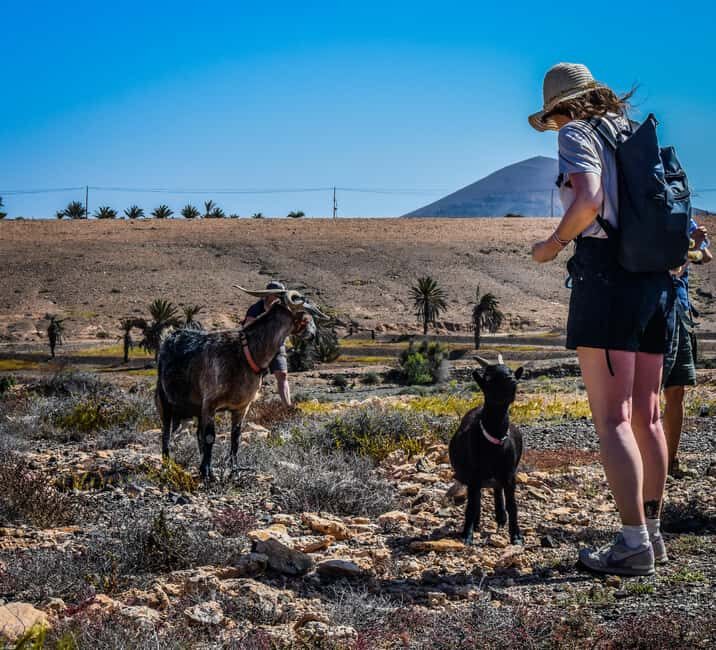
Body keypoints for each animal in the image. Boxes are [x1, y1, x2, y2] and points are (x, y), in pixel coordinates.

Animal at [156, 286, 324, 479]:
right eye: (307, 316)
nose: (314, 335)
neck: (245, 352)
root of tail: (168, 337)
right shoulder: (210, 403)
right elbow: (210, 437)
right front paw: (208, 473)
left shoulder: (241, 407)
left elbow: (235, 437)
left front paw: (234, 469)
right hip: (165, 401)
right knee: (166, 433)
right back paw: (168, 464)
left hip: (195, 409)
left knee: (193, 433)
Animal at [449, 355, 524, 545]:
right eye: (489, 377)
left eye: (511, 372)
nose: (511, 380)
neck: (494, 443)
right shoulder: (474, 475)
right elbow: (472, 504)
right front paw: (467, 535)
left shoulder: (509, 475)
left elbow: (513, 505)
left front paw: (516, 536)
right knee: (478, 498)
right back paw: (477, 524)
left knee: (497, 490)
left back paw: (500, 517)